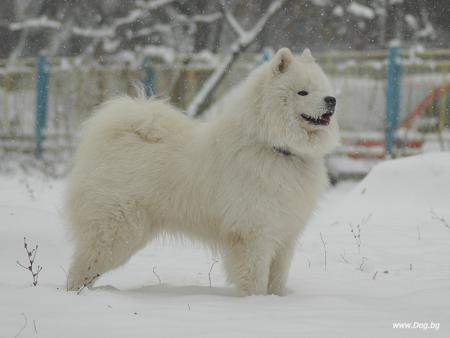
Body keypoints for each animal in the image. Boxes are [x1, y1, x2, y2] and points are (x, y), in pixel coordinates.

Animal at [63, 47, 338, 296]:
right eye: (303, 91)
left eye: (324, 89)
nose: (331, 100)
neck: (275, 147)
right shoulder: (253, 234)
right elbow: (256, 279)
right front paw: (256, 303)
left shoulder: (284, 235)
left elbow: (277, 279)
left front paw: (278, 301)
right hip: (115, 232)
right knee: (80, 268)